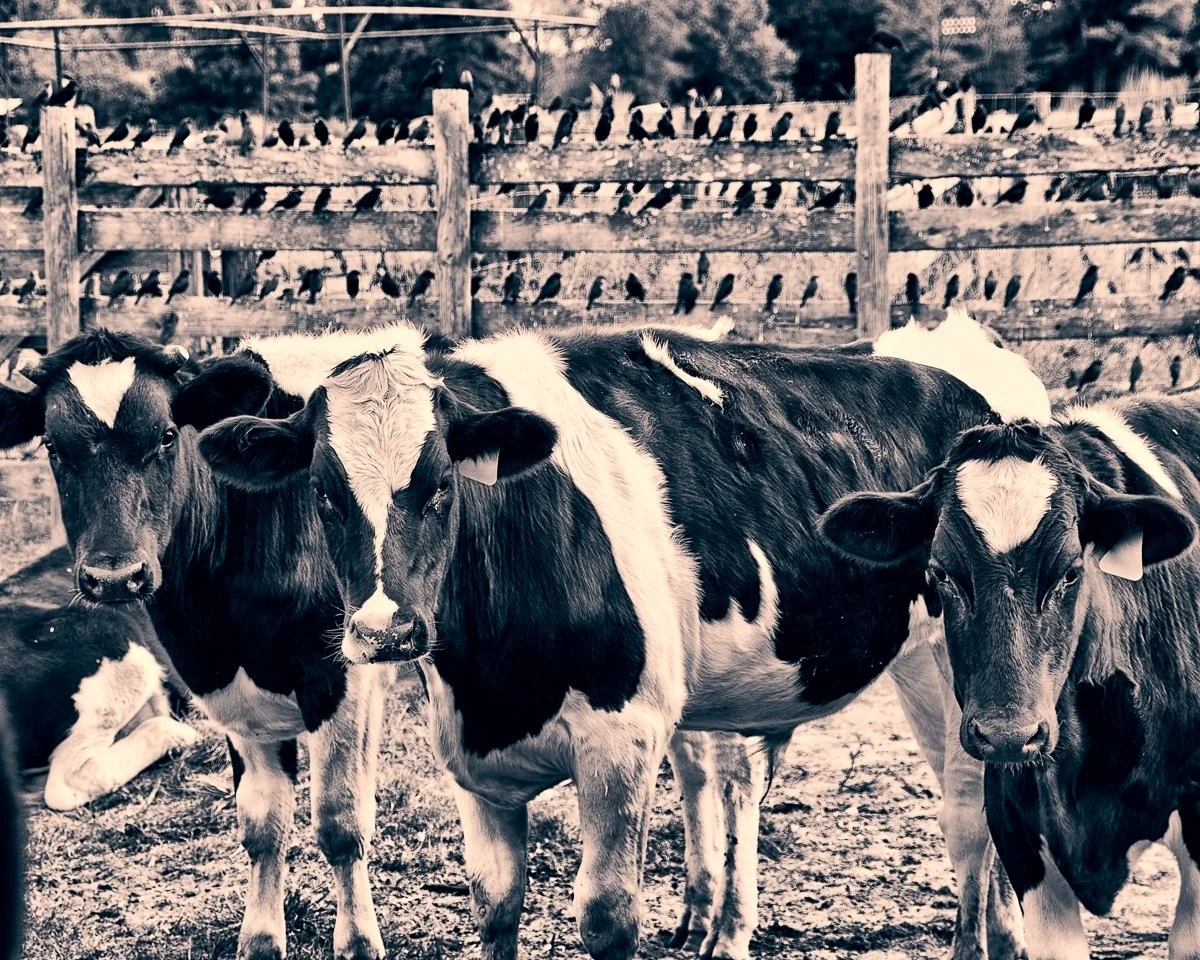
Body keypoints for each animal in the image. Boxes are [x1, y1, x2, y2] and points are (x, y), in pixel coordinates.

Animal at [0, 330, 396, 960]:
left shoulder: (340, 669)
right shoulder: (217, 675)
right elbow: (261, 821)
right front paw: (261, 939)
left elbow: (338, 819)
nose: (116, 578)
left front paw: (357, 941)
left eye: (166, 435)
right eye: (54, 446)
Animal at [196, 316, 1050, 960]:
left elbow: (608, 918)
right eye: (324, 491)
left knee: (972, 814)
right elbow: (495, 909)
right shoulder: (475, 766)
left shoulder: (623, 738)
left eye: (440, 484)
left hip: (959, 671)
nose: (384, 631)